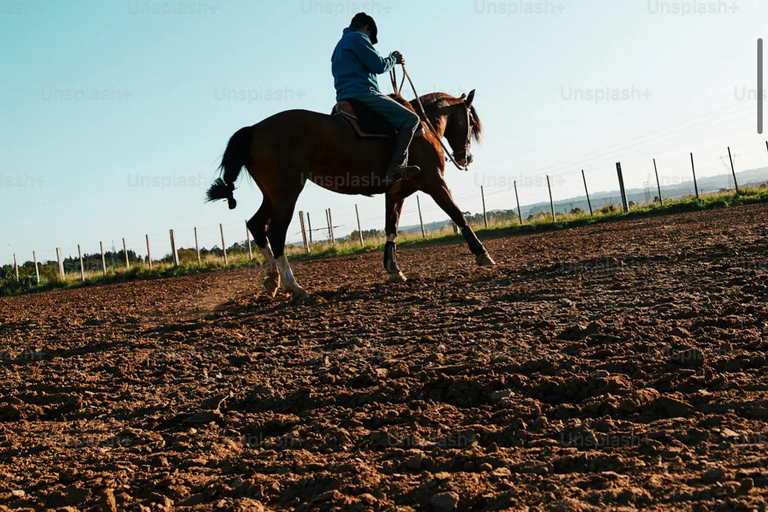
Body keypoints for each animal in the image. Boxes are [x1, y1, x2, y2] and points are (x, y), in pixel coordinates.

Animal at [207, 90, 496, 304]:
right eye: (470, 121)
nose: (466, 158)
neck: (422, 127)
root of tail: (254, 129)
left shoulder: (396, 193)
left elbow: (391, 228)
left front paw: (393, 270)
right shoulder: (436, 183)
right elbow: (457, 214)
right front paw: (483, 254)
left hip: (272, 195)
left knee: (256, 225)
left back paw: (273, 279)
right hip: (286, 194)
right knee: (275, 233)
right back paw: (294, 286)